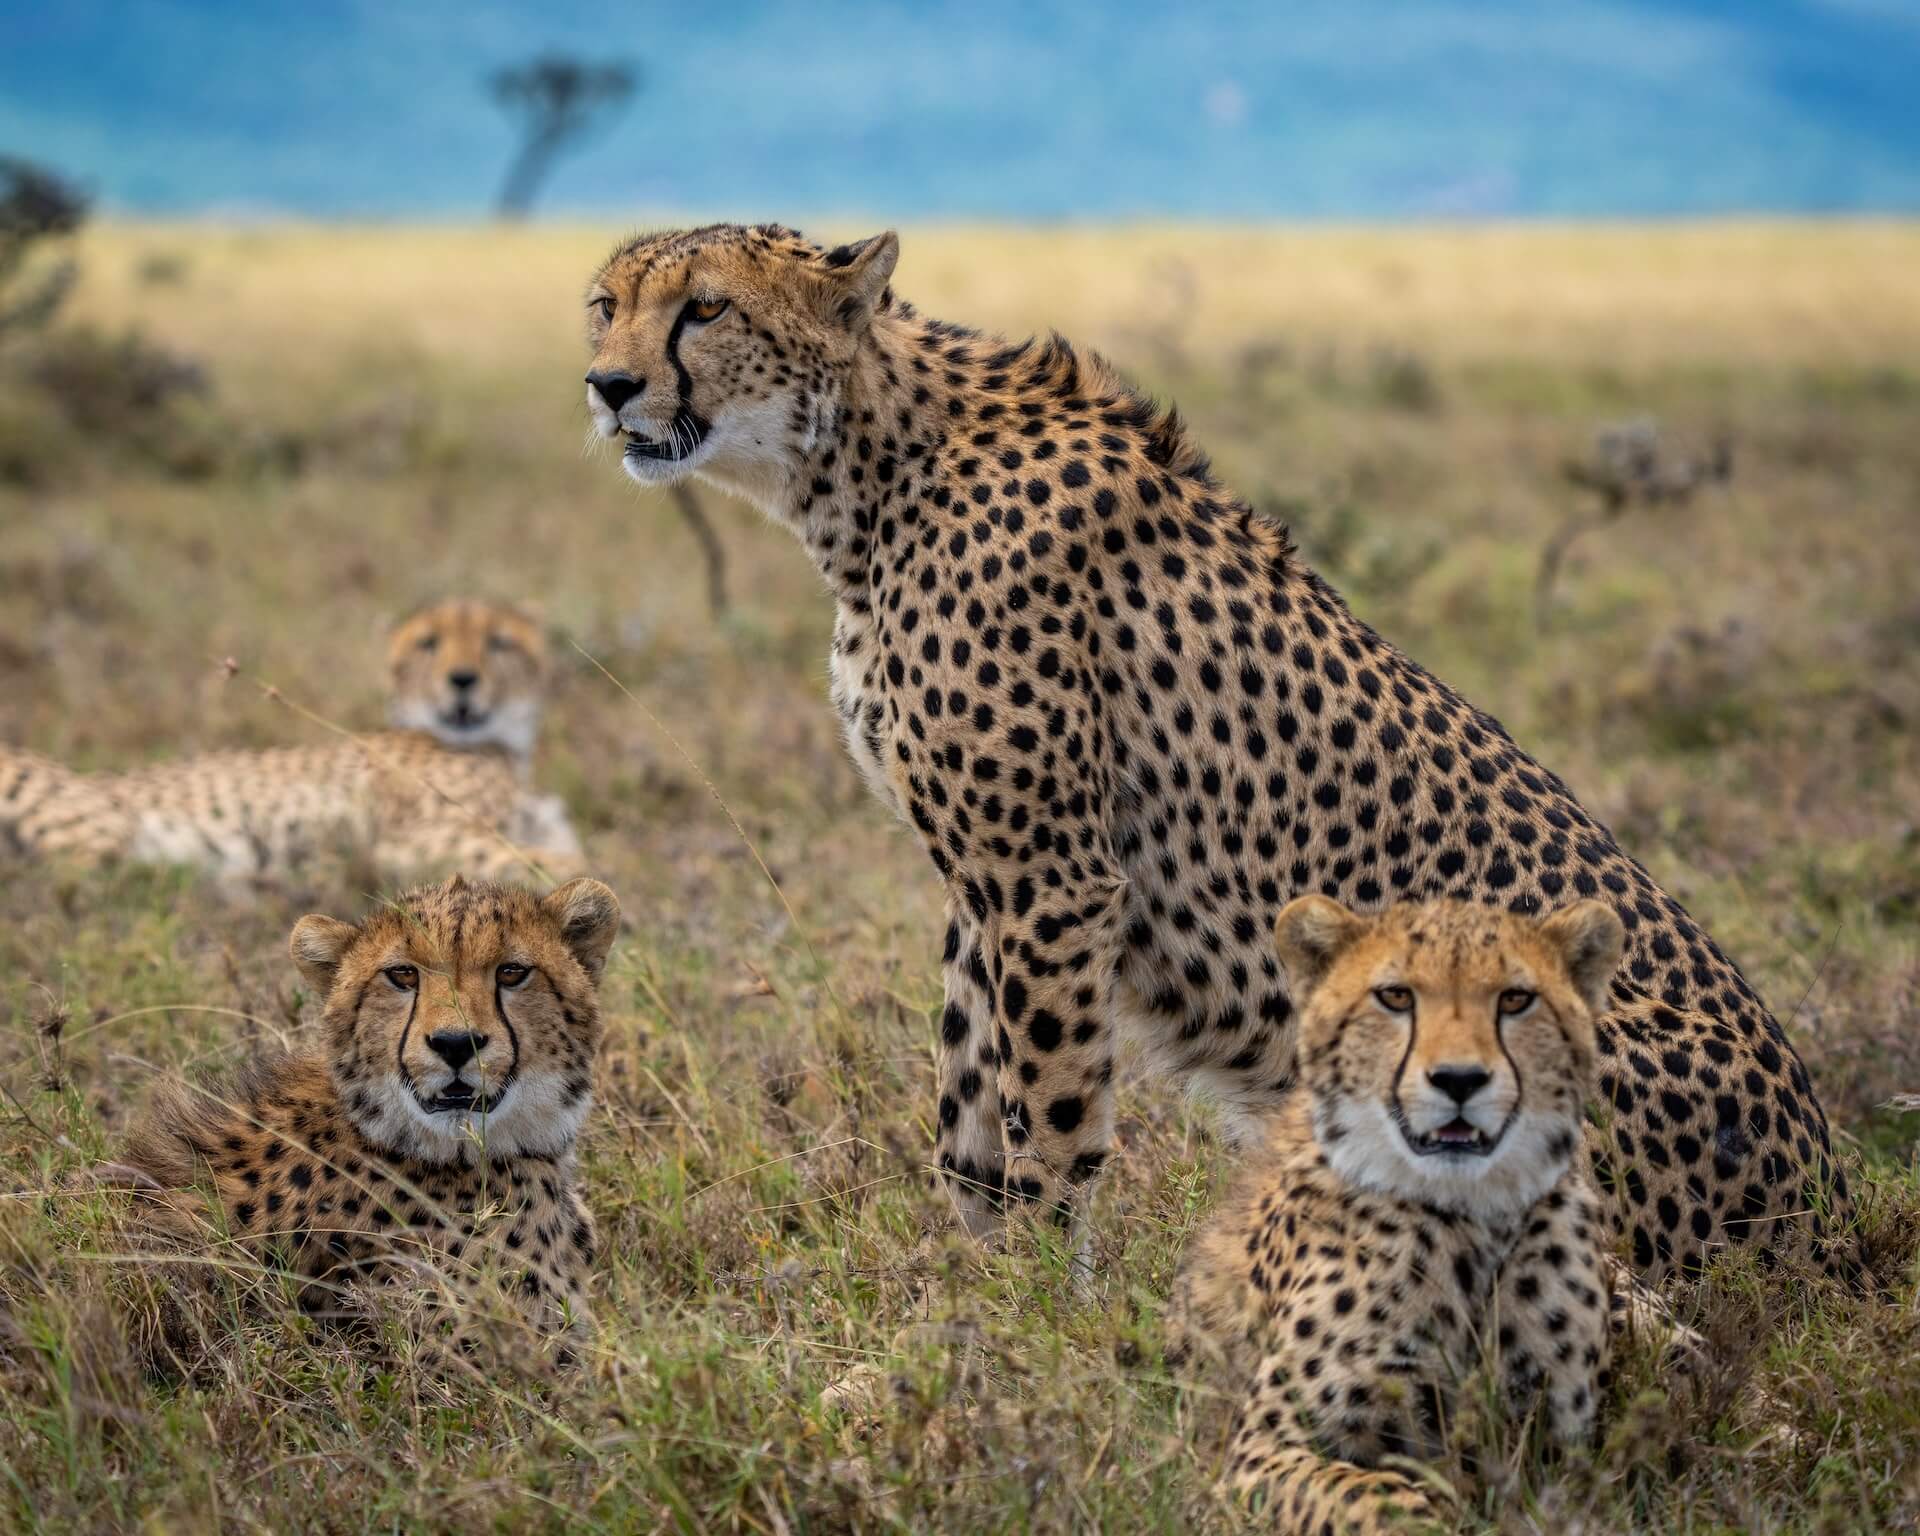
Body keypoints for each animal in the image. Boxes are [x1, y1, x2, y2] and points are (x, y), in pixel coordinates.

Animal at [1, 599, 583, 887]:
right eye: (428, 643)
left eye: (499, 642)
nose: (462, 680)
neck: (506, 748)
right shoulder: (414, 841)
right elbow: (569, 865)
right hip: (93, 824)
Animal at [576, 224, 1850, 1282]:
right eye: (603, 306)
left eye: (704, 309)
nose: (609, 386)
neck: (871, 466)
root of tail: (1832, 1203)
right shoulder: (987, 881)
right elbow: (968, 1099)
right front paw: (976, 1292)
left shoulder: (1048, 876)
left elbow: (1052, 1104)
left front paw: (1049, 1310)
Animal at [1167, 894, 1666, 1528]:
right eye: (1396, 996)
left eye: (1515, 999)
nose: (1459, 1079)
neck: (1473, 1215)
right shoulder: (1264, 1448)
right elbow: (1379, 1500)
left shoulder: (1563, 1452)